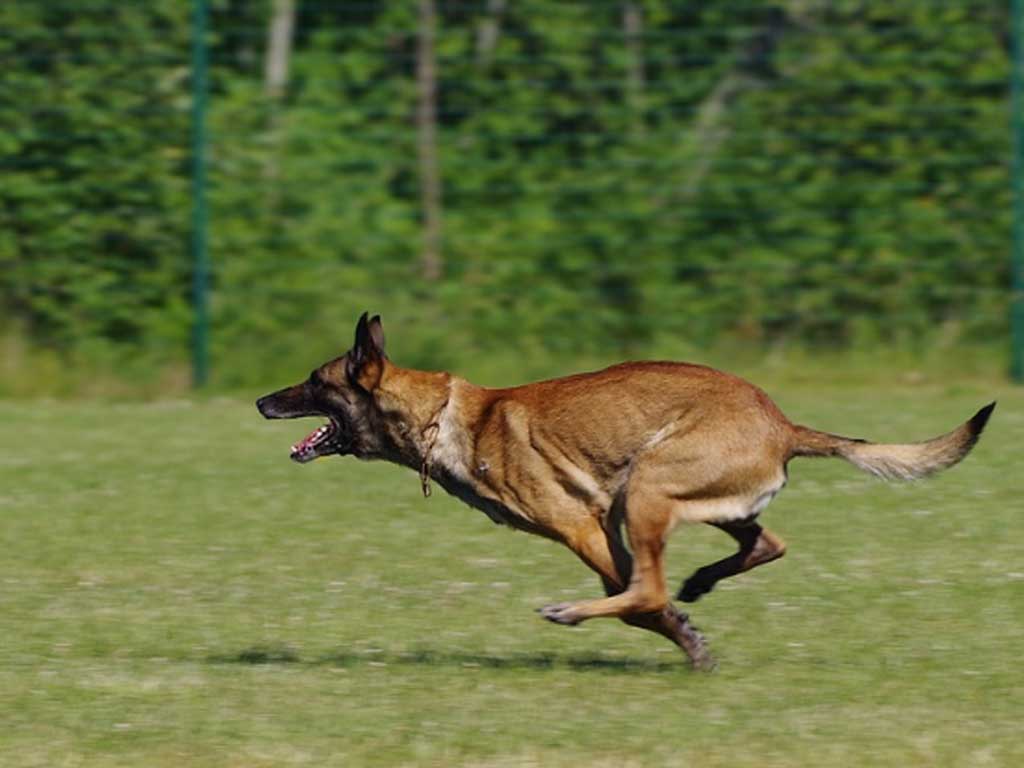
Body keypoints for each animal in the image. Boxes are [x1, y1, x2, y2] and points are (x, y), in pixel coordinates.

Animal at [253, 313, 991, 667]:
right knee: (764, 543)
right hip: (692, 501)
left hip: (648, 487)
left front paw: (684, 640)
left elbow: (639, 601)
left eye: (314, 381)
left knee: (654, 588)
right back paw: (701, 583)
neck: (446, 416)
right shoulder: (605, 529)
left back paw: (578, 612)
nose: (261, 400)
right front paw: (689, 632)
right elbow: (642, 595)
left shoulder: (582, 526)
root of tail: (783, 424)